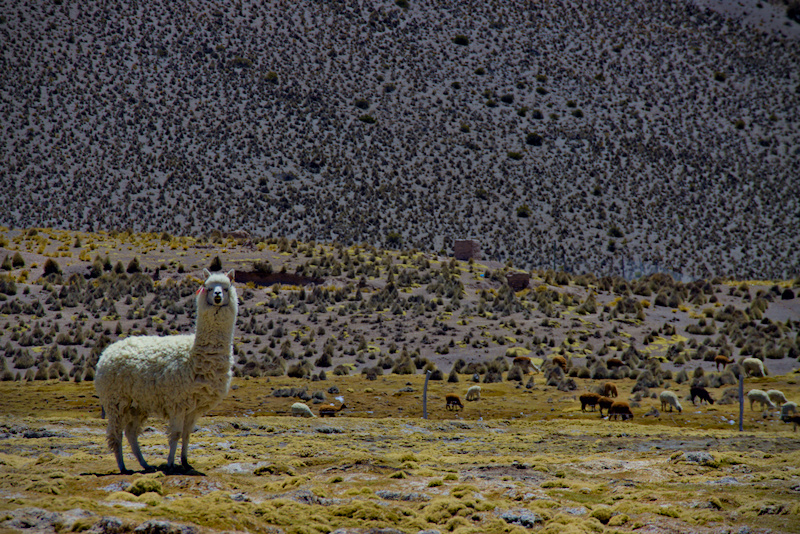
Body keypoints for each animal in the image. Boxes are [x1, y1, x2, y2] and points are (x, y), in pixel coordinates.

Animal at [95, 270, 237, 474]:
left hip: (137, 405)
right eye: (208, 287)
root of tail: (105, 353)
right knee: (116, 434)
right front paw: (171, 464)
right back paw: (123, 466)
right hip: (115, 401)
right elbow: (176, 434)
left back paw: (145, 464)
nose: (217, 295)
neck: (193, 358)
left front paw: (185, 462)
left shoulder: (193, 408)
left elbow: (187, 435)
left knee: (131, 433)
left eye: (226, 288)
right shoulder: (177, 402)